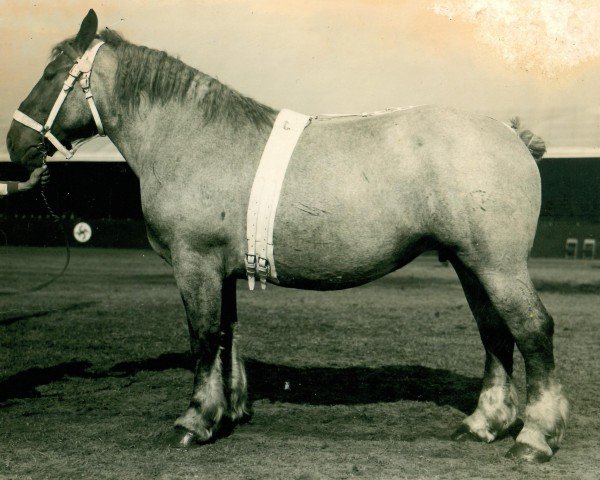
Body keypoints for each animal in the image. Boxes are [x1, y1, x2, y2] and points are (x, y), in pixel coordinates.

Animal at [5, 10, 568, 462]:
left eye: (52, 74)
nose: (15, 144)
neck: (193, 139)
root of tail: (511, 133)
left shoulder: (195, 264)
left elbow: (203, 337)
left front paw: (193, 422)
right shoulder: (222, 270)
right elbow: (227, 335)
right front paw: (226, 413)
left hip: (498, 265)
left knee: (532, 330)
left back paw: (535, 438)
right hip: (470, 264)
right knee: (495, 334)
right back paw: (484, 424)